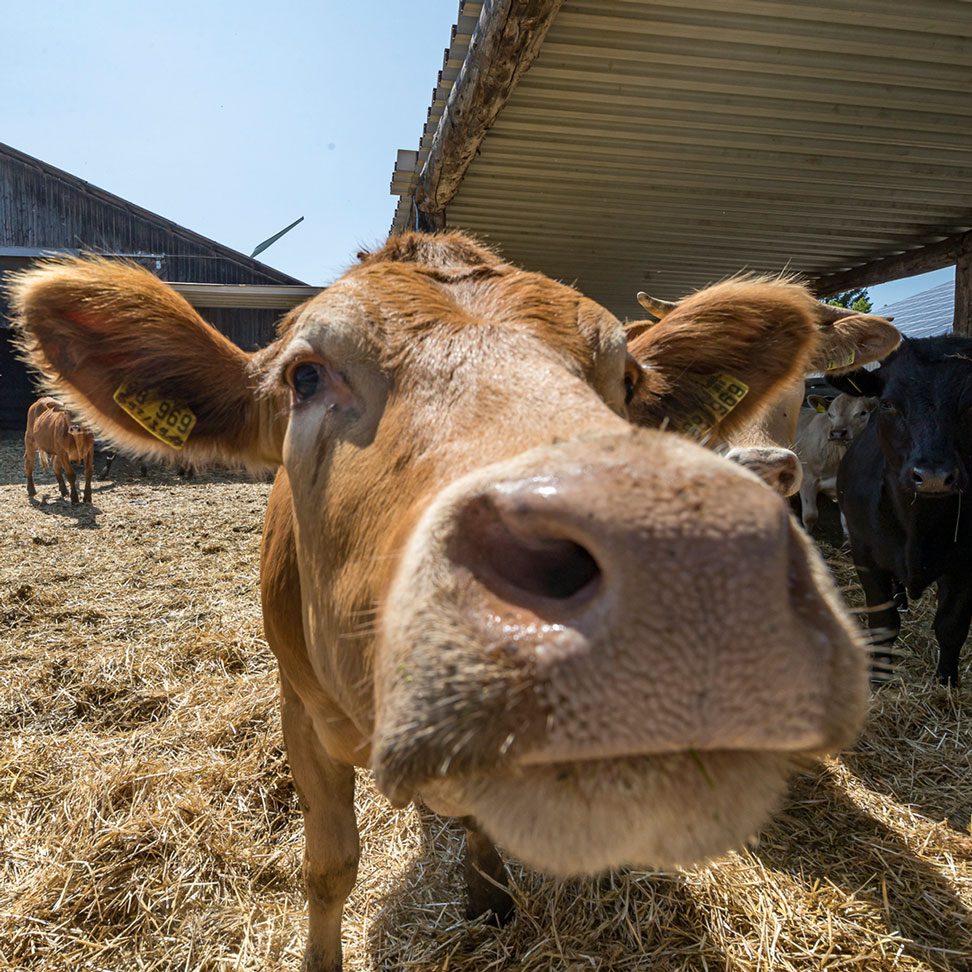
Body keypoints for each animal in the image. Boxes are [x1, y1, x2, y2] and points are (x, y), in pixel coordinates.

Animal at [13, 237, 864, 972]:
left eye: (630, 383)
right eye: (305, 377)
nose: (679, 550)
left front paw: (487, 894)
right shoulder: (300, 710)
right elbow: (330, 865)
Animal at [832, 338, 972, 688]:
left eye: (971, 405)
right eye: (888, 404)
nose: (933, 475)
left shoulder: (967, 564)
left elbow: (951, 625)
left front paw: (946, 683)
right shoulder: (864, 551)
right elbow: (883, 621)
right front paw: (880, 678)